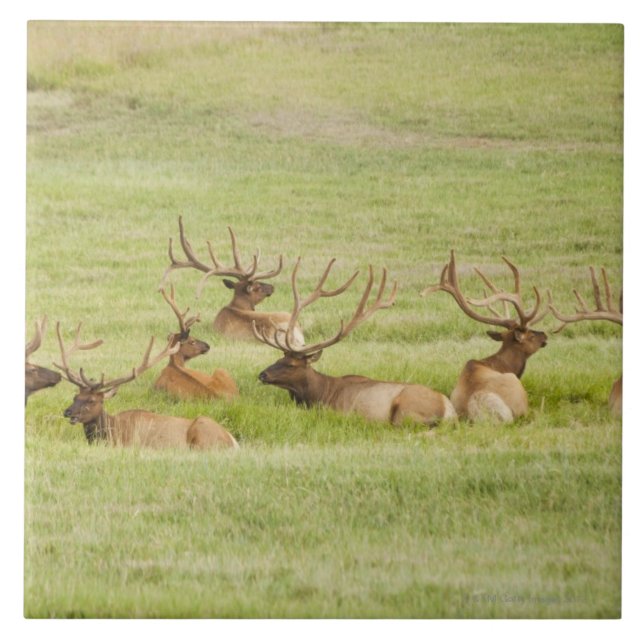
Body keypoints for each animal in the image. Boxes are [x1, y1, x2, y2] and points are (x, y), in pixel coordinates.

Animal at [54, 323, 239, 449]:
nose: (67, 412)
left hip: (203, 433)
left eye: (92, 400)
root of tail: (233, 440)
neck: (112, 433)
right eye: (75, 396)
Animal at [254, 258, 456, 426]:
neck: (320, 395)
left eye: (290, 364)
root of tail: (449, 410)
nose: (262, 374)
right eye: (278, 359)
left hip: (406, 411)